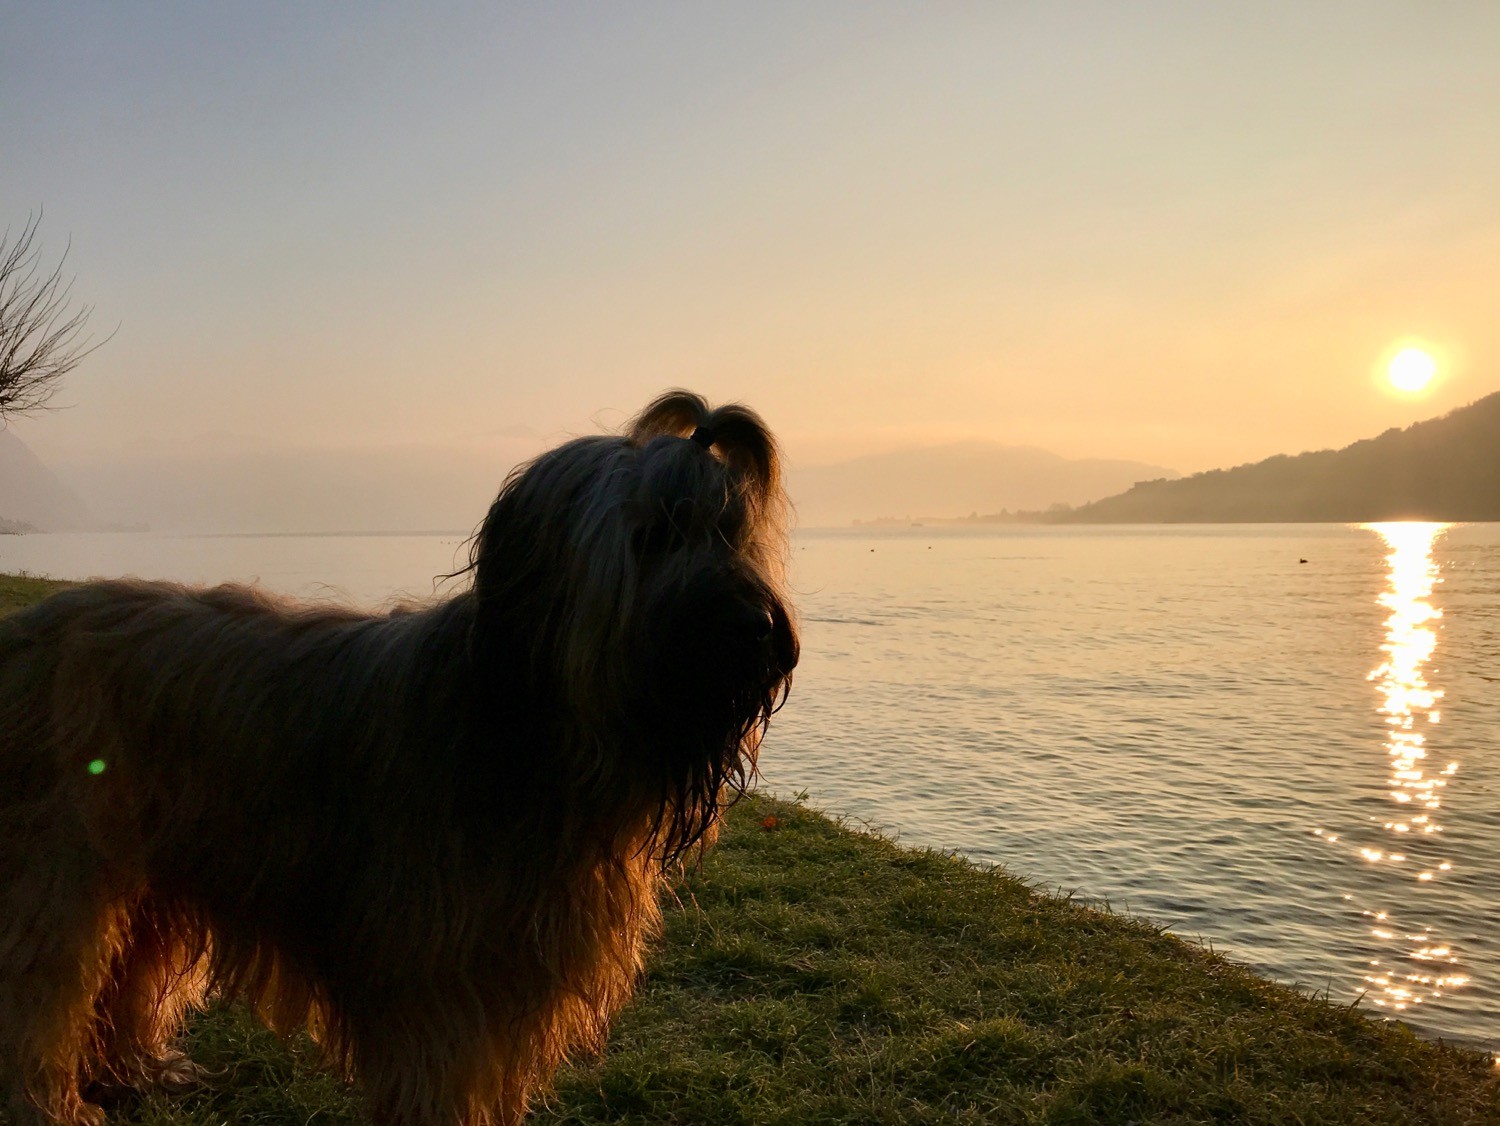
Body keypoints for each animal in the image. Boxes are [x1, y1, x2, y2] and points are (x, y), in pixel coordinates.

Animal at [0, 392, 798, 1121]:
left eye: (732, 532)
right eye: (656, 534)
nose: (762, 629)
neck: (531, 731)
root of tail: (24, 633)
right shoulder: (435, 982)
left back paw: (136, 1071)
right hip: (53, 871)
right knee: (38, 990)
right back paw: (47, 1105)